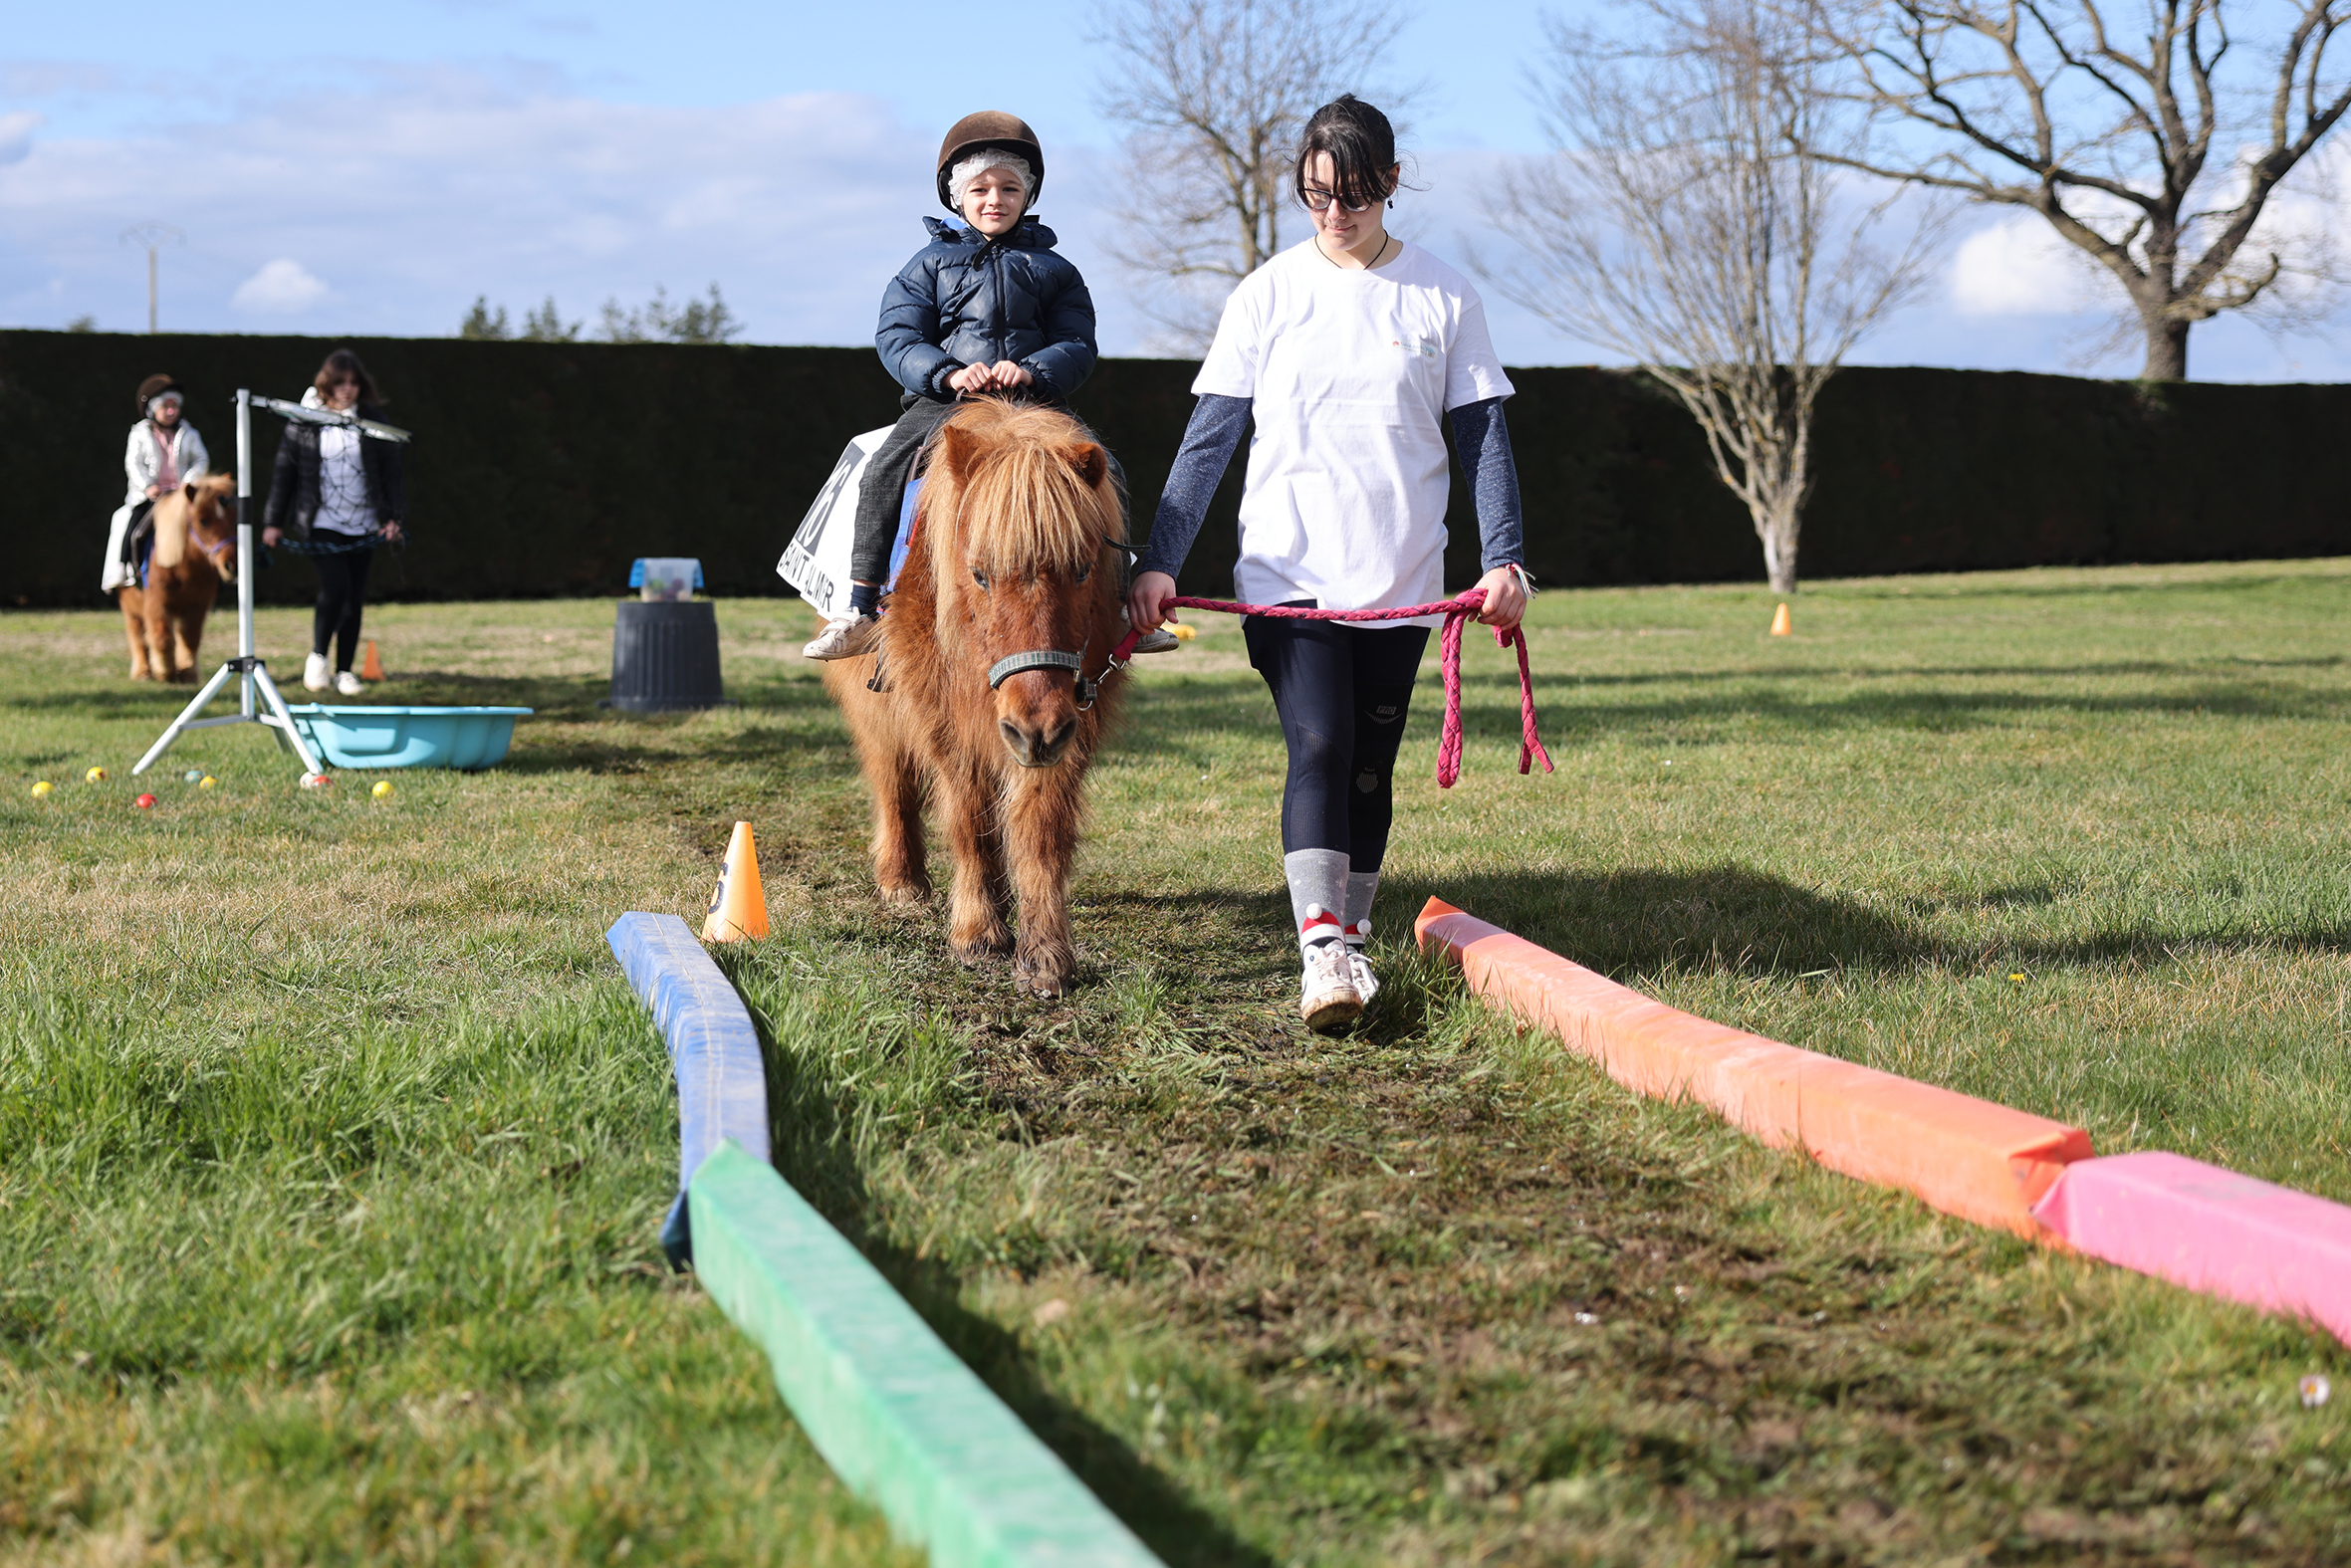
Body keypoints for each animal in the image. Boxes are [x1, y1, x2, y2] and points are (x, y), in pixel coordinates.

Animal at [117, 472, 238, 681]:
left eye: (236, 518)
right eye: (203, 520)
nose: (232, 565)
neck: (185, 569)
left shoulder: (198, 605)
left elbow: (191, 638)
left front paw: (187, 672)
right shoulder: (156, 603)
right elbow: (162, 638)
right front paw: (165, 672)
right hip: (129, 605)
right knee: (138, 636)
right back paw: (143, 671)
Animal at [823, 399, 1123, 1001]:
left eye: (1082, 569)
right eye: (979, 574)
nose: (1035, 730)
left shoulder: (1068, 725)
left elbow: (1039, 828)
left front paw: (1044, 953)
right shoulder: (943, 719)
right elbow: (968, 818)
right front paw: (978, 932)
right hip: (880, 710)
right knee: (893, 782)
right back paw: (902, 882)